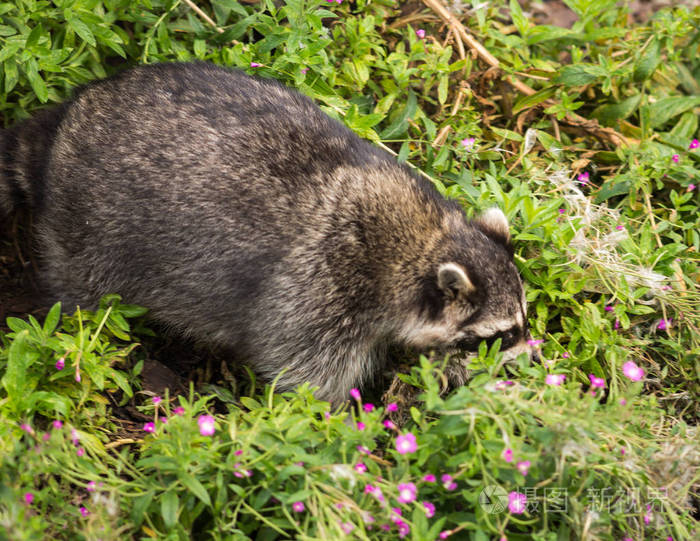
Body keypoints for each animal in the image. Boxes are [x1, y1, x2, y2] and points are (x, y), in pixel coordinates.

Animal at [1, 61, 536, 402]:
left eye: (523, 321)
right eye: (500, 334)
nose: (532, 356)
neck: (422, 242)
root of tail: (65, 123)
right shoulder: (319, 290)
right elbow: (306, 372)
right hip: (88, 228)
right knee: (82, 289)